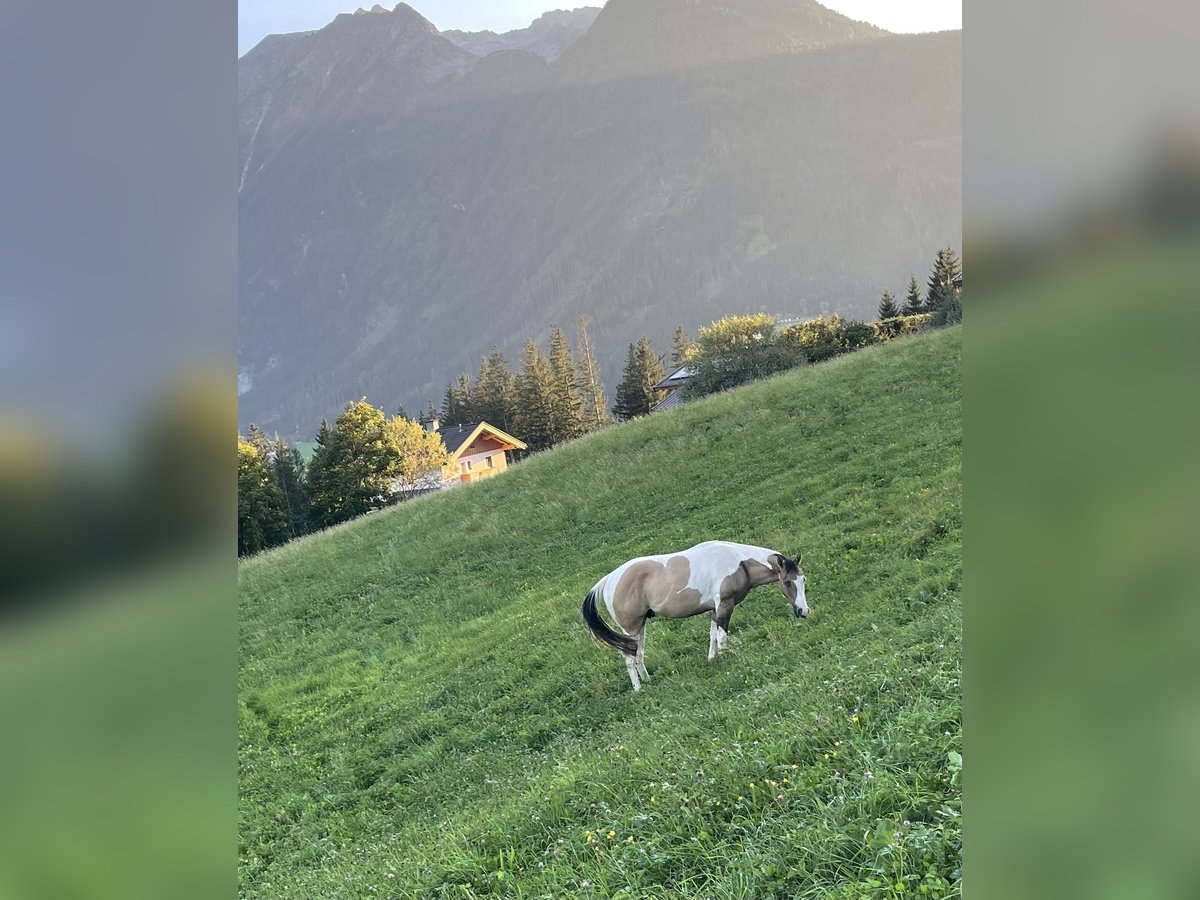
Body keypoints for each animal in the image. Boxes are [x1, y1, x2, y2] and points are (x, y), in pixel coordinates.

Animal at [578, 542, 811, 691]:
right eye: (787, 582)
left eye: (803, 579)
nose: (803, 611)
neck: (738, 562)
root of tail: (609, 579)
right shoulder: (724, 606)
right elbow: (722, 637)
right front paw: (727, 659)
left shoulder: (716, 609)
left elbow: (712, 636)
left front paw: (713, 659)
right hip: (631, 628)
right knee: (628, 658)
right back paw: (638, 688)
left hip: (639, 627)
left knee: (638, 654)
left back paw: (648, 681)